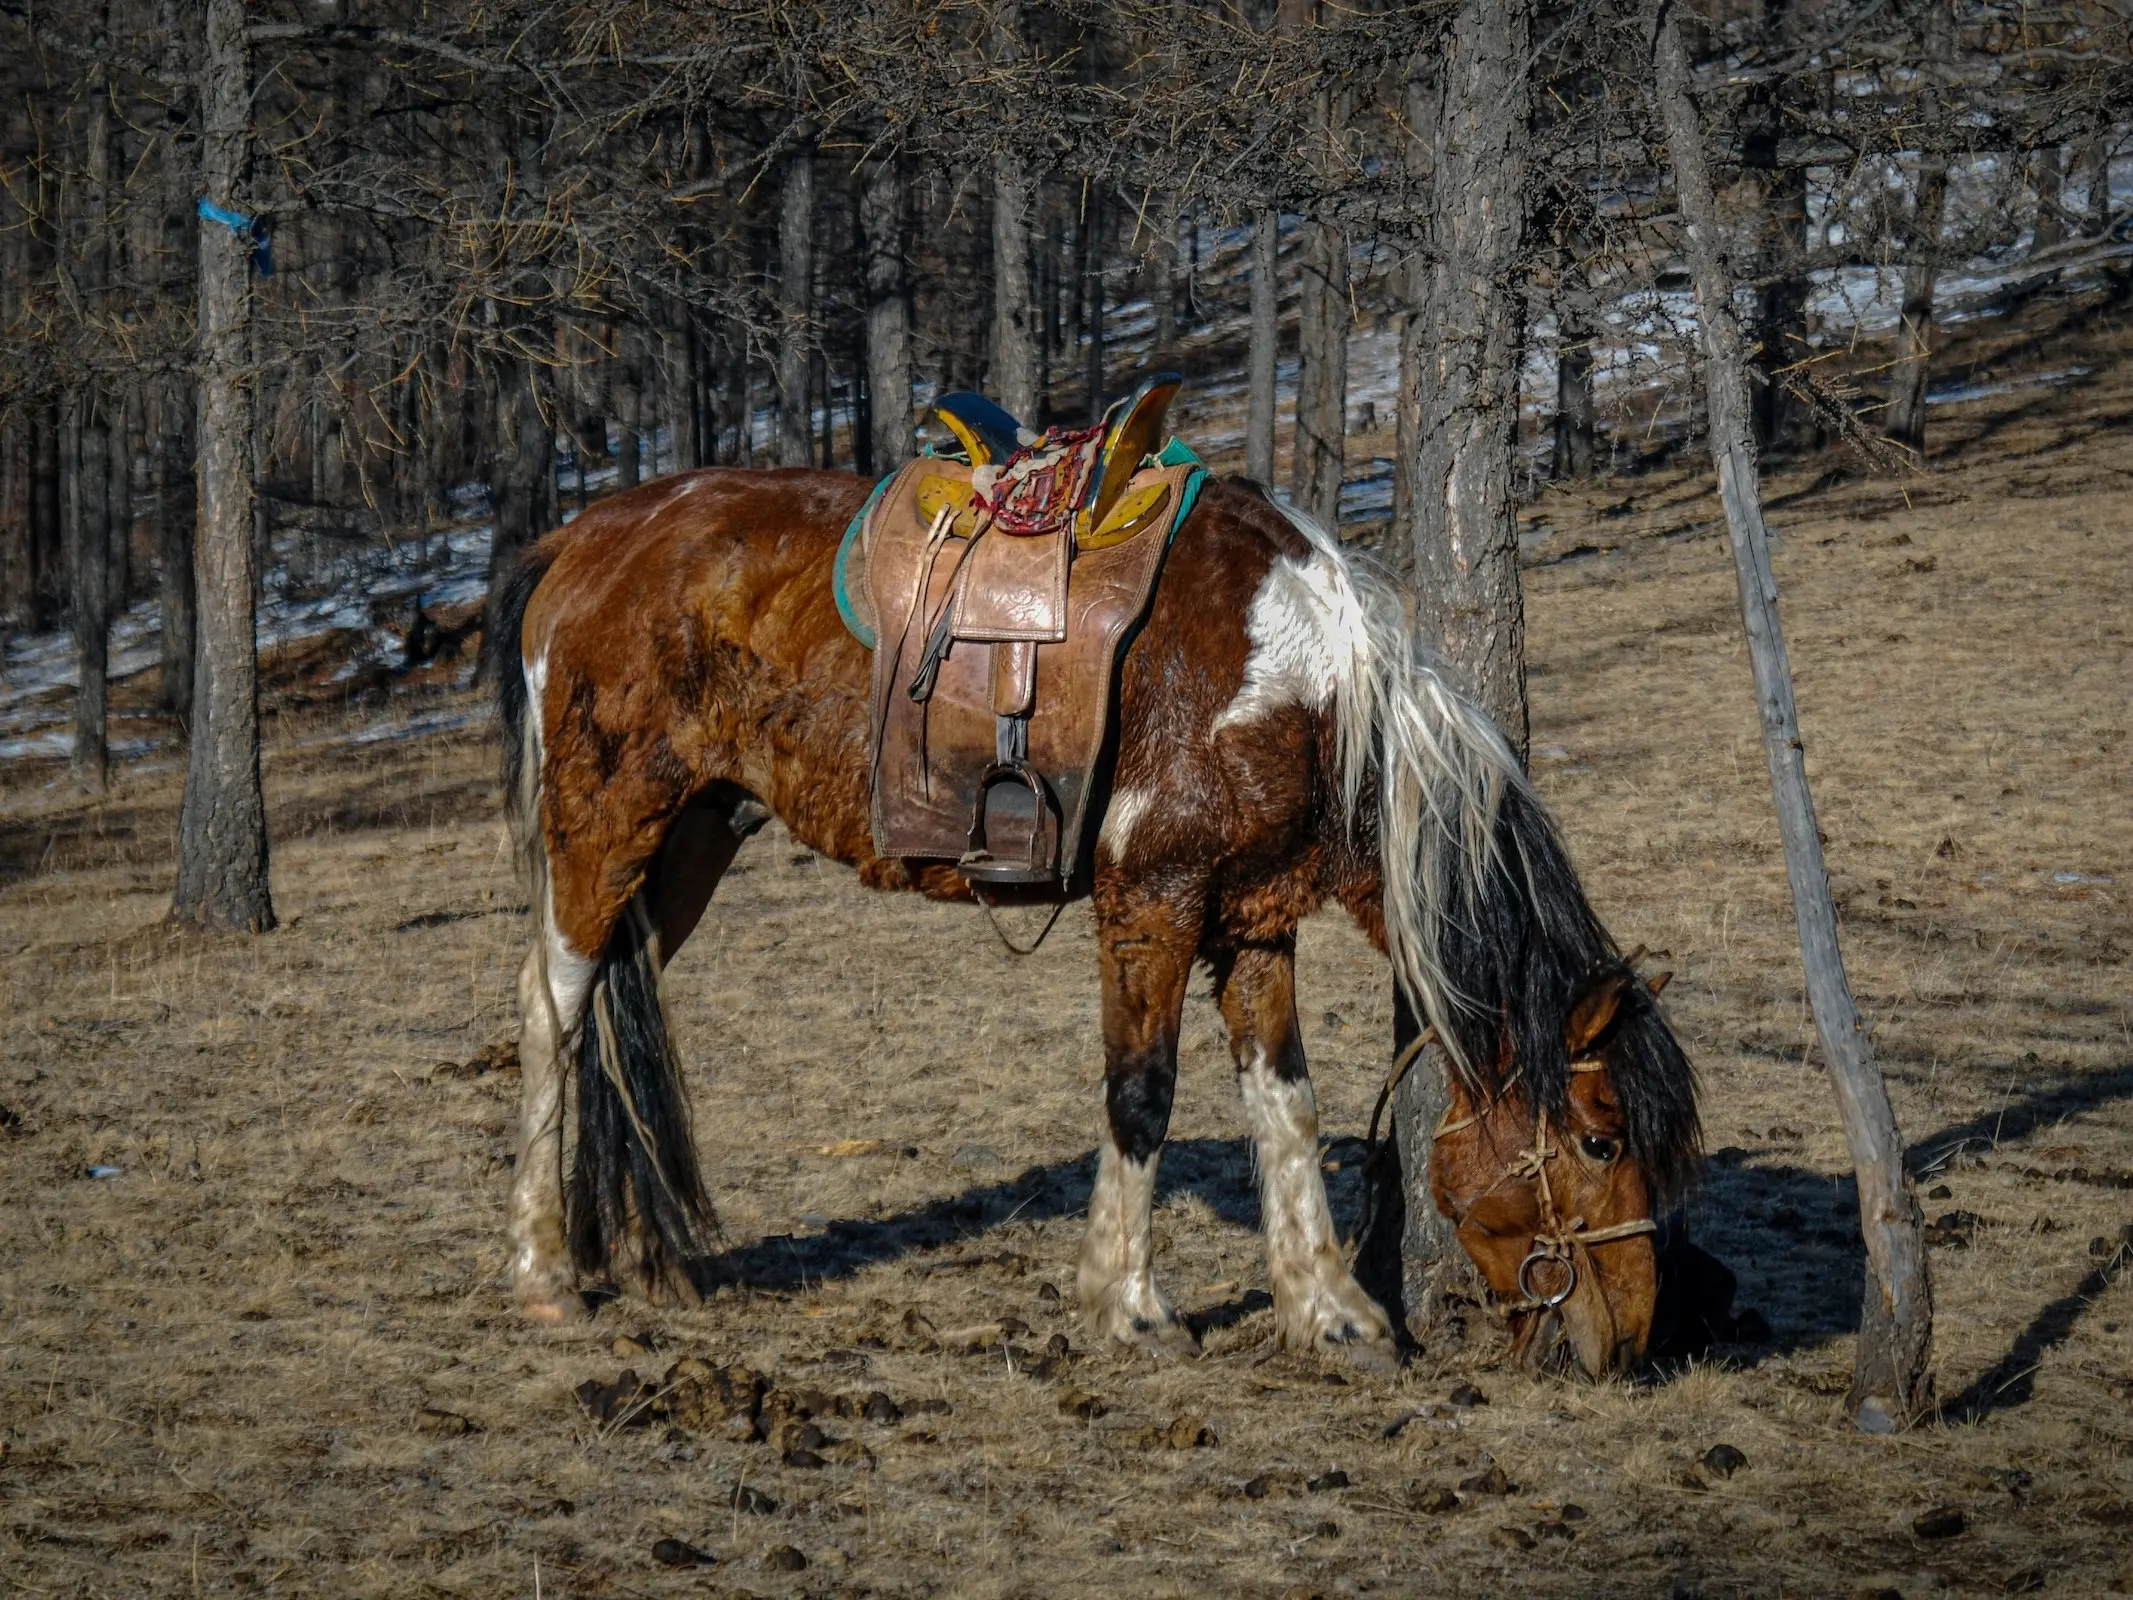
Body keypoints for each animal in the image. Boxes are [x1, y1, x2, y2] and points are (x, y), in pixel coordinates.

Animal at [488, 462, 1697, 1382]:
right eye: (1601, 1138)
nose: (1635, 1341)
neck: (1290, 678)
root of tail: (587, 534)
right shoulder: (1150, 902)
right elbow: (1141, 1094)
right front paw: (1128, 1304)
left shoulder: (1254, 919)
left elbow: (1286, 1105)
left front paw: (1327, 1310)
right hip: (607, 826)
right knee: (552, 1007)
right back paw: (544, 1272)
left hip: (691, 839)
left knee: (613, 1016)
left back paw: (640, 1258)